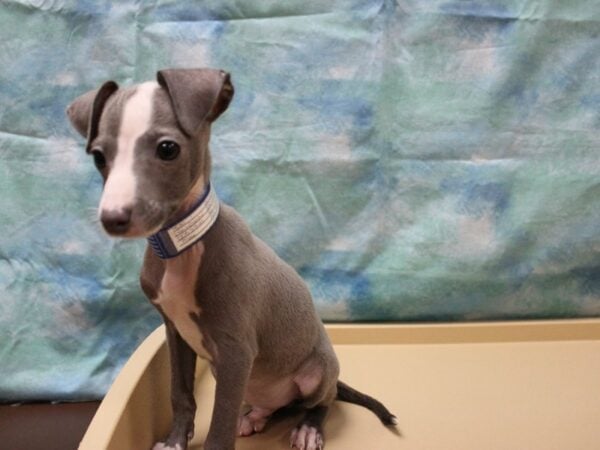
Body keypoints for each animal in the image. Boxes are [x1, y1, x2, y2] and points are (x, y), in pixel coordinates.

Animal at [67, 67, 398, 450]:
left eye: (167, 148)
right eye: (99, 156)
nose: (113, 218)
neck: (184, 246)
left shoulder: (236, 352)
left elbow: (220, 424)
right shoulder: (176, 333)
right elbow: (180, 394)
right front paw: (175, 442)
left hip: (316, 372)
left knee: (320, 401)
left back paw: (308, 428)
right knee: (276, 406)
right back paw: (256, 416)